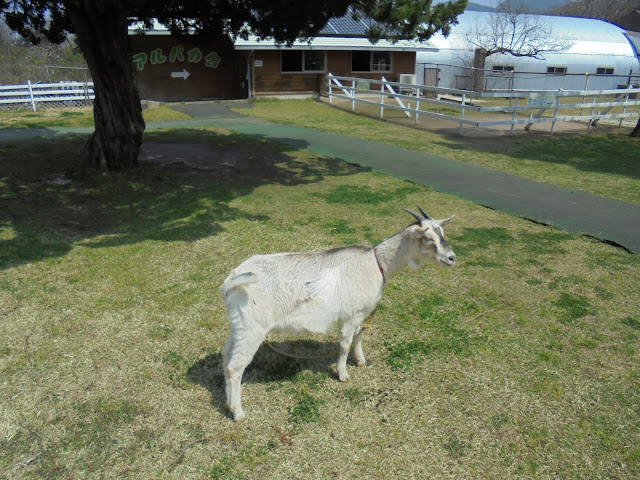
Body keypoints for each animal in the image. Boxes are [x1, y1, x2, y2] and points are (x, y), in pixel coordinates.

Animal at [220, 206, 456, 420]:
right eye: (427, 237)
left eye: (442, 234)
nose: (452, 258)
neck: (376, 264)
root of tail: (232, 279)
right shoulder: (352, 315)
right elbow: (345, 344)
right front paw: (343, 374)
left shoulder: (360, 314)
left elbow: (359, 337)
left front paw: (361, 361)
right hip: (253, 327)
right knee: (235, 366)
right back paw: (239, 413)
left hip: (239, 325)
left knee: (225, 354)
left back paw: (229, 405)